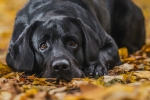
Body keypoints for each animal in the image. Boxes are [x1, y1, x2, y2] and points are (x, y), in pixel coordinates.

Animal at [6, 0, 145, 80]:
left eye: (73, 43)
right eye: (43, 45)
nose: (60, 66)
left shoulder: (109, 43)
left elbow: (101, 53)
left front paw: (95, 66)